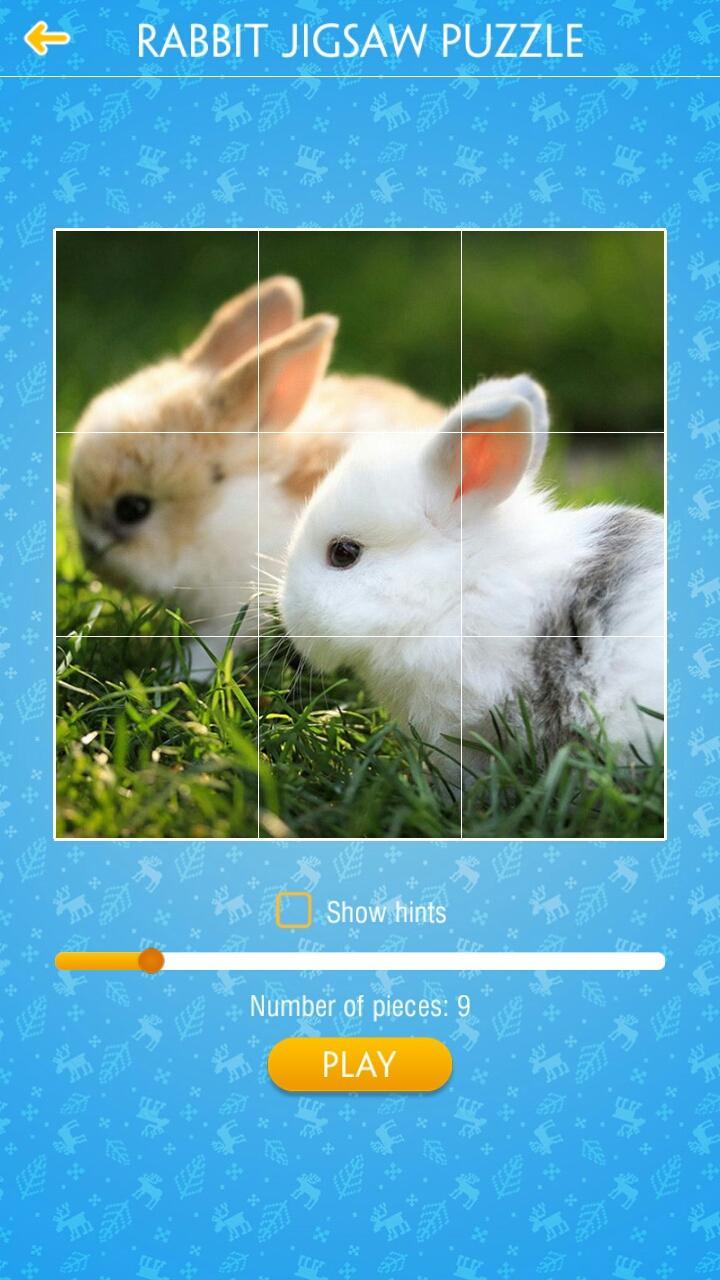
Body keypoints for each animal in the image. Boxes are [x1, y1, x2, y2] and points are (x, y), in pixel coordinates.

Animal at [69, 275, 442, 677]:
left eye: (132, 509)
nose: (91, 556)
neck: (218, 514)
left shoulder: (239, 606)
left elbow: (216, 643)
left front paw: (176, 672)